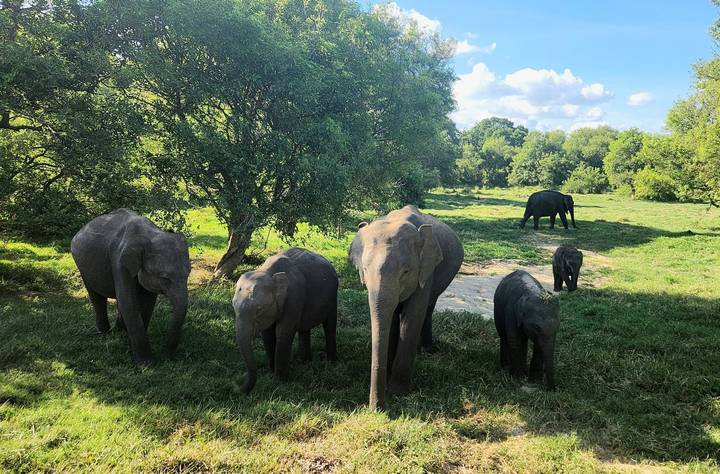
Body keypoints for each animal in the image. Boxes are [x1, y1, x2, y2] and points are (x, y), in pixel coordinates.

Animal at [70, 209, 191, 367]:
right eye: (165, 278)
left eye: (188, 273)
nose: (167, 357)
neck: (150, 235)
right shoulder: (119, 262)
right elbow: (129, 303)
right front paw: (146, 365)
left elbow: (147, 304)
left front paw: (130, 348)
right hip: (82, 267)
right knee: (97, 297)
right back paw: (104, 334)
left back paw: (120, 331)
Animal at [232, 247, 338, 394]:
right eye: (233, 306)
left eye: (259, 309)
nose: (236, 386)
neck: (268, 272)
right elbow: (268, 334)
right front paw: (271, 373)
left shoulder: (294, 297)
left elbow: (283, 333)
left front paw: (278, 382)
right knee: (304, 329)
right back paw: (304, 361)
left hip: (333, 298)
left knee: (329, 326)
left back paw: (331, 362)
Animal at [349, 205, 464, 410]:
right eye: (364, 270)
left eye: (406, 271)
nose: (376, 409)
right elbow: (392, 317)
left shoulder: (426, 271)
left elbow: (412, 317)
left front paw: (398, 391)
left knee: (428, 308)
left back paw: (426, 350)